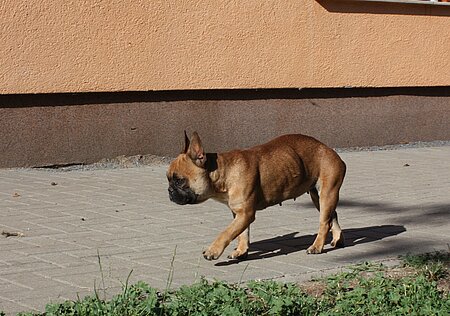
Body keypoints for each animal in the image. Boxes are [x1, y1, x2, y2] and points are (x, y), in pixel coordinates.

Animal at [167, 132, 346, 260]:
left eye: (179, 181)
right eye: (169, 179)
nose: (169, 191)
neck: (224, 171)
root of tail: (328, 148)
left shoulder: (245, 214)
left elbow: (226, 232)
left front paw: (213, 250)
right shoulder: (239, 214)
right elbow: (241, 233)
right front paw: (241, 251)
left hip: (327, 193)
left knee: (324, 222)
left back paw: (316, 247)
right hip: (318, 197)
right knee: (333, 216)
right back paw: (338, 240)